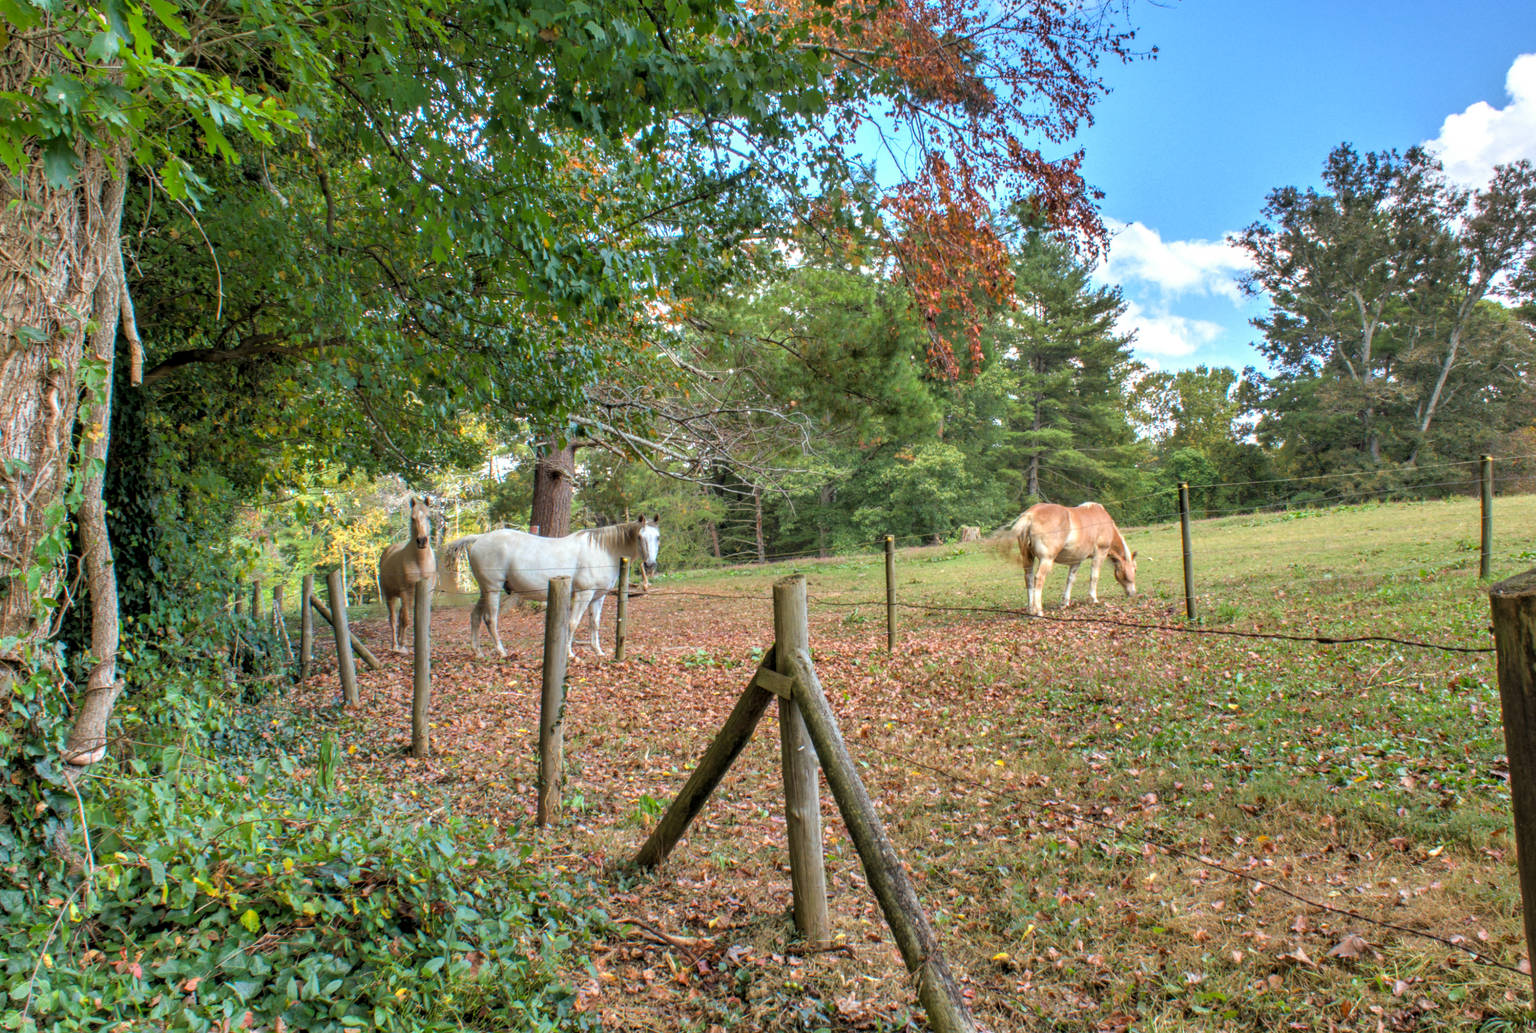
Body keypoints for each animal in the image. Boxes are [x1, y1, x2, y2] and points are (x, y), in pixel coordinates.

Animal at [377, 494, 439, 653]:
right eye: (412, 518)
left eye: (428, 517)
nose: (422, 541)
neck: (420, 562)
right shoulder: (406, 592)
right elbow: (406, 619)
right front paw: (403, 645)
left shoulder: (427, 593)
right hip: (390, 596)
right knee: (393, 619)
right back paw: (395, 644)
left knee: (399, 616)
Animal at [445, 515, 660, 660]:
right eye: (640, 537)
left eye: (657, 537)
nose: (650, 565)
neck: (603, 550)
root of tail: (480, 538)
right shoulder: (583, 594)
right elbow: (573, 623)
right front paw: (570, 654)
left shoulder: (598, 597)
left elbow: (594, 624)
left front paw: (598, 651)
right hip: (492, 590)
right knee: (491, 619)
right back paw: (502, 651)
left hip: (484, 591)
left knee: (475, 617)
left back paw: (478, 652)